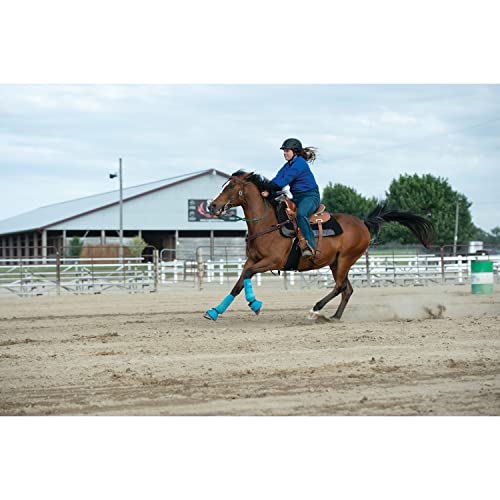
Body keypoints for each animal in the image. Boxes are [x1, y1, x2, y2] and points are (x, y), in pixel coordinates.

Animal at [203, 171, 434, 320]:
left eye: (231, 186)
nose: (212, 206)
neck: (268, 223)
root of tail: (363, 223)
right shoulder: (253, 260)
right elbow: (239, 282)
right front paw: (214, 311)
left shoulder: (272, 261)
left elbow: (249, 276)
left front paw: (255, 304)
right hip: (335, 262)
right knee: (347, 289)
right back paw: (335, 316)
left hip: (346, 259)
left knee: (340, 286)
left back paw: (315, 309)